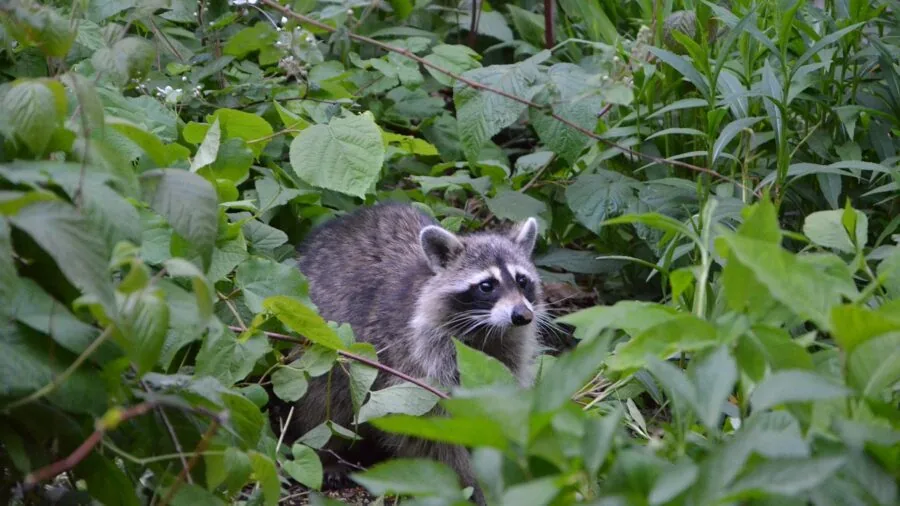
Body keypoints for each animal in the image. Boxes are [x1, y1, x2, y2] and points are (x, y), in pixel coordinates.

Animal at [281, 202, 545, 504]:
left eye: (522, 281)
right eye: (487, 285)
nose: (522, 315)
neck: (485, 331)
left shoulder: (503, 356)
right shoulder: (413, 361)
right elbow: (429, 432)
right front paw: (469, 485)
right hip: (319, 339)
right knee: (323, 404)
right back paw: (329, 456)